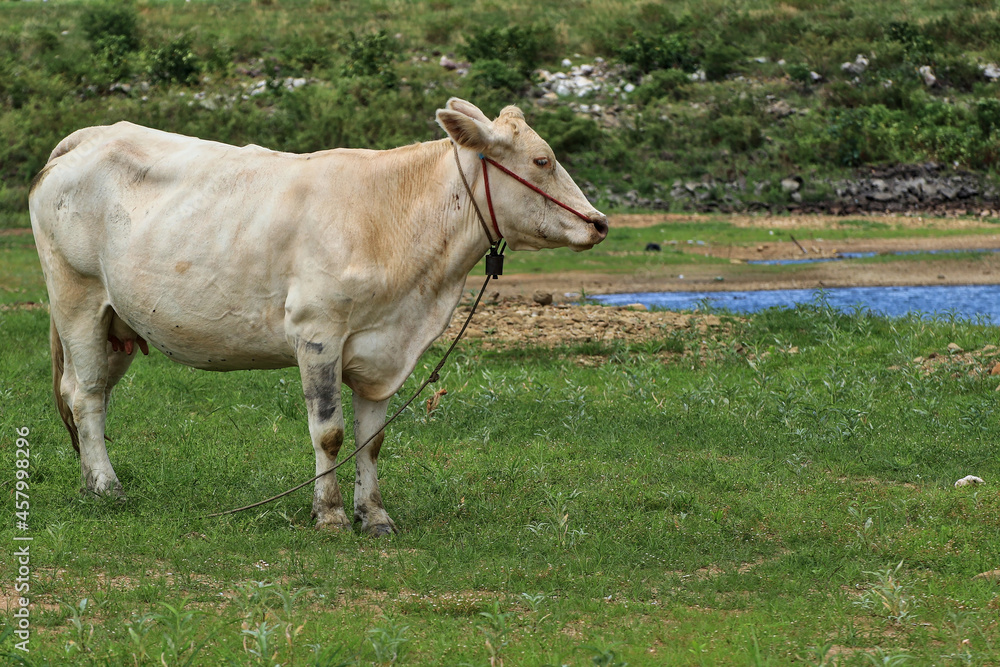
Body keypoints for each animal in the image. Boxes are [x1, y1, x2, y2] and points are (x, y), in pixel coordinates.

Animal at [28, 98, 608, 536]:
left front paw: (374, 516)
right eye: (542, 161)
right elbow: (328, 432)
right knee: (85, 395)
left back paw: (89, 480)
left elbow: (372, 439)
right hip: (77, 298)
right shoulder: (317, 332)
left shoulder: (383, 352)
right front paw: (328, 514)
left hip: (119, 324)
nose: (600, 222)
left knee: (90, 395)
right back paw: (108, 487)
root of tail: (90, 136)